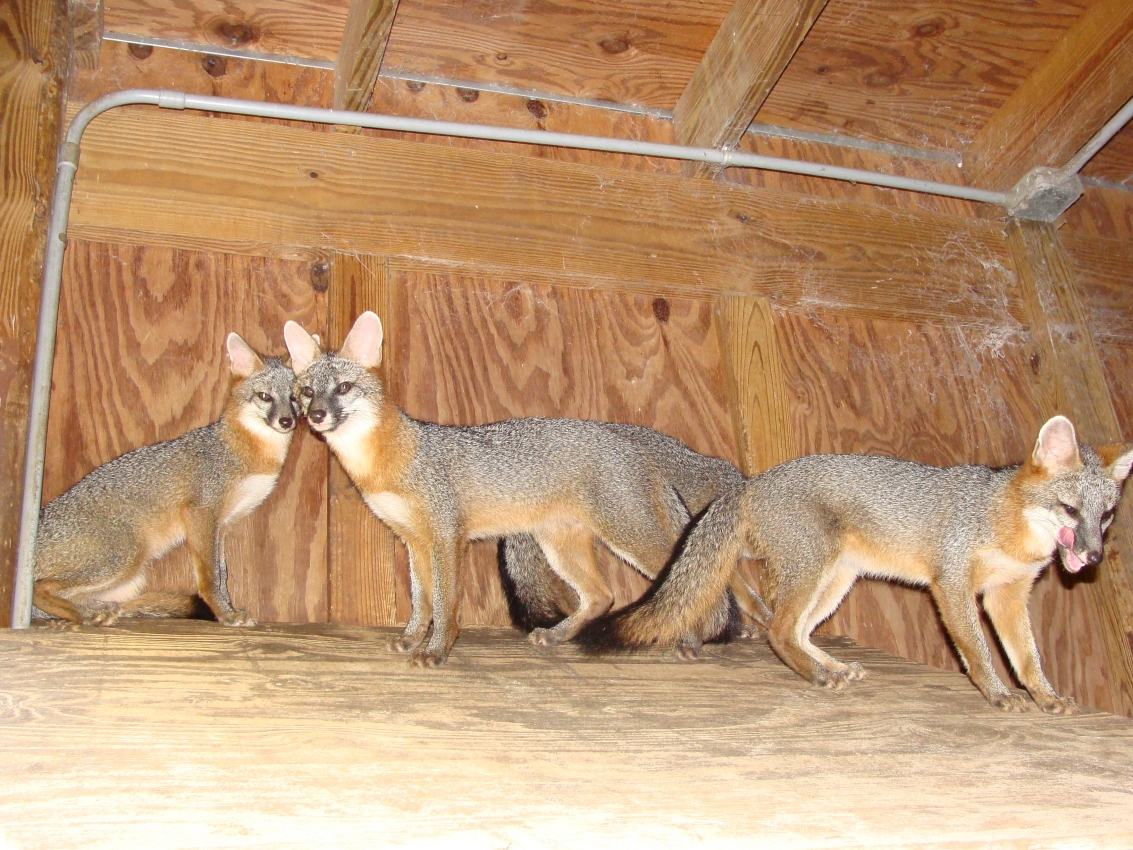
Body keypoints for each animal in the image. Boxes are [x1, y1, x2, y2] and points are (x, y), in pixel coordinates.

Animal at [33, 333, 299, 627]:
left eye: (295, 398)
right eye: (265, 396)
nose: (286, 421)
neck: (252, 454)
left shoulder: (222, 526)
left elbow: (223, 574)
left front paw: (229, 609)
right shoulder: (201, 515)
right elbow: (211, 577)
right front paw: (225, 615)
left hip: (131, 576)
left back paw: (98, 609)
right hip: (125, 557)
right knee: (40, 587)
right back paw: (84, 614)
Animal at [283, 311, 769, 667]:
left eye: (344, 387)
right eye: (307, 392)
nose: (317, 416)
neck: (385, 462)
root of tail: (630, 441)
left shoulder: (445, 538)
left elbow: (445, 604)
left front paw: (437, 650)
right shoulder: (413, 542)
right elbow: (421, 603)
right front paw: (411, 640)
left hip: (633, 540)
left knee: (698, 582)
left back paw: (694, 638)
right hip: (560, 545)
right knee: (602, 597)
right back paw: (558, 636)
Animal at [579, 415, 1133, 714]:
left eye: (1105, 516)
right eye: (1070, 510)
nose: (1094, 557)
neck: (1010, 530)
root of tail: (752, 482)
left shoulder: (1008, 595)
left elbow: (1027, 658)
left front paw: (1045, 695)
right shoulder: (952, 584)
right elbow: (978, 653)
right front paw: (999, 694)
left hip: (836, 581)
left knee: (798, 630)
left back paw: (831, 667)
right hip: (813, 571)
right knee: (779, 630)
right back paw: (816, 675)